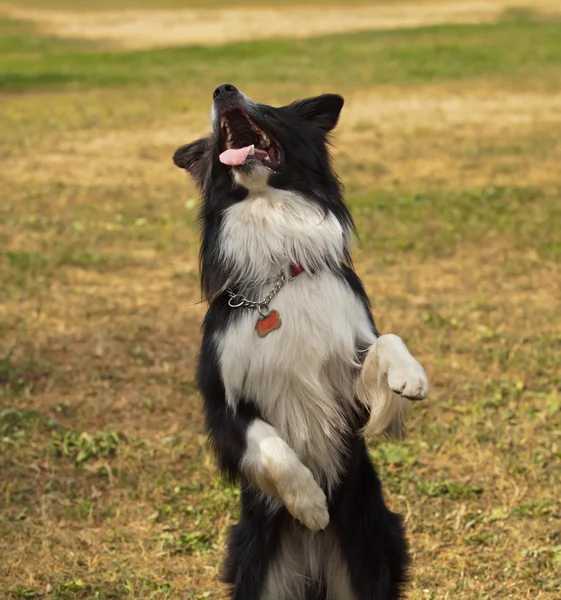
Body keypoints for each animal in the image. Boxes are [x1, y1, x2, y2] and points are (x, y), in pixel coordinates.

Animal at [174, 85, 428, 600]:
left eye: (269, 108)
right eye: (213, 140)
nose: (223, 89)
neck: (278, 265)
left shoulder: (350, 387)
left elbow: (384, 341)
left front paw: (409, 375)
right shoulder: (222, 403)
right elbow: (268, 442)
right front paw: (310, 501)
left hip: (373, 551)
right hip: (258, 568)